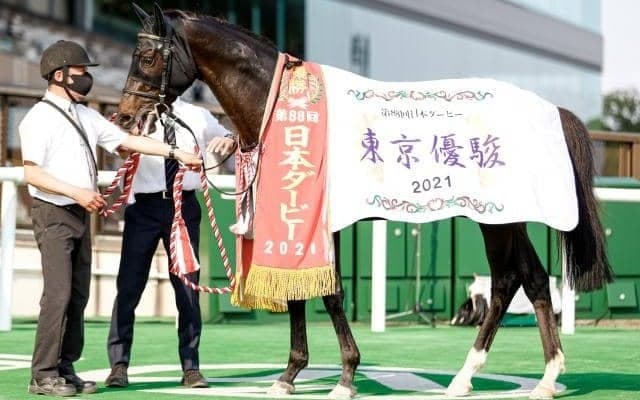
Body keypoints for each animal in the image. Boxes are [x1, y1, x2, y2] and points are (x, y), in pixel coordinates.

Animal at [113, 4, 613, 399]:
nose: (124, 116)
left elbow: (331, 293)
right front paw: (289, 375)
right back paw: (536, 379)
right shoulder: (296, 220)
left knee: (508, 281)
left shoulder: (318, 219)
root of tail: (551, 110)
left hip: (497, 221)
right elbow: (301, 293)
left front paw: (345, 377)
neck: (283, 108)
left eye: (147, 56)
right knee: (532, 280)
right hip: (511, 219)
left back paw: (475, 377)